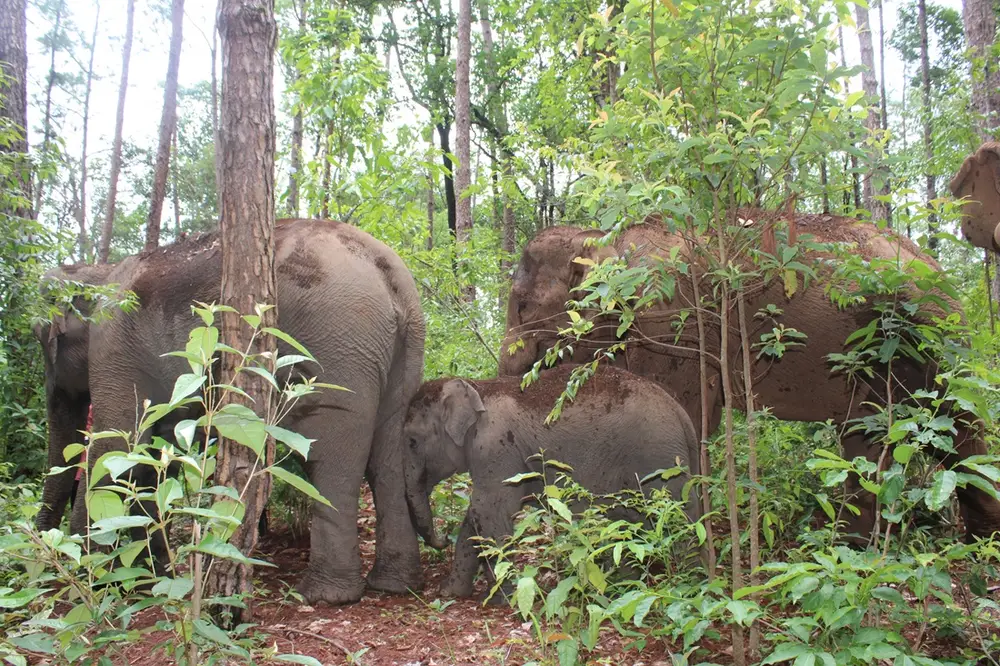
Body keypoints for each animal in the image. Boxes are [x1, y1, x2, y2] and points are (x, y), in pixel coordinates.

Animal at [33, 218, 426, 605]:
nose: (42, 570)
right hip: (401, 349)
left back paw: (323, 596)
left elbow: (115, 445)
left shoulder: (113, 345)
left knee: (329, 459)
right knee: (387, 459)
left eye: (42, 339)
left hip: (336, 343)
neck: (100, 271)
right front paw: (151, 579)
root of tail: (388, 269)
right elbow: (158, 452)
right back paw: (392, 585)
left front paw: (91, 583)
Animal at [402, 365, 701, 598]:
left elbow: (489, 512)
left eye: (412, 441)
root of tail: (682, 415)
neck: (479, 388)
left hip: (658, 461)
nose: (441, 539)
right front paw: (450, 593)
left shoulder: (496, 448)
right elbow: (474, 517)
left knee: (675, 520)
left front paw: (505, 599)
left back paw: (688, 587)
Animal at [499, 212, 1000, 542]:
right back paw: (855, 545)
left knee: (956, 422)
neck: (603, 235)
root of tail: (936, 267)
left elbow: (688, 414)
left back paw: (977, 541)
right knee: (867, 432)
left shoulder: (674, 322)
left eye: (521, 306)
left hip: (930, 337)